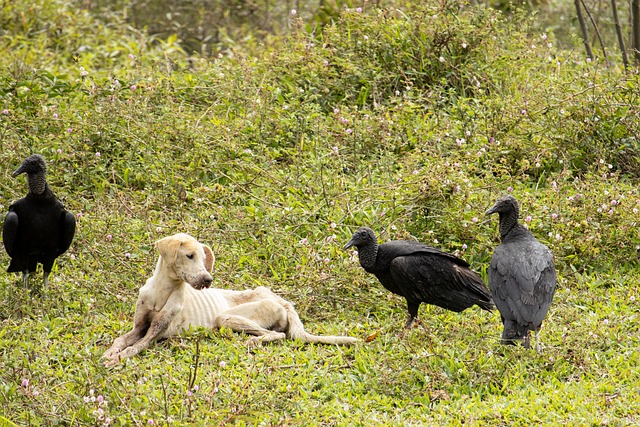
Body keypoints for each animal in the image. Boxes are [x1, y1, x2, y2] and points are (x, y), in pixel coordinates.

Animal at [102, 232, 358, 366]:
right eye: (190, 256)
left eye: (204, 258)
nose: (208, 279)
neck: (161, 292)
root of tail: (283, 301)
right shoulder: (139, 327)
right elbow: (120, 340)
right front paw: (110, 352)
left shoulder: (155, 333)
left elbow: (135, 347)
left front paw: (117, 358)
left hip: (227, 317)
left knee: (278, 335)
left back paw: (251, 342)